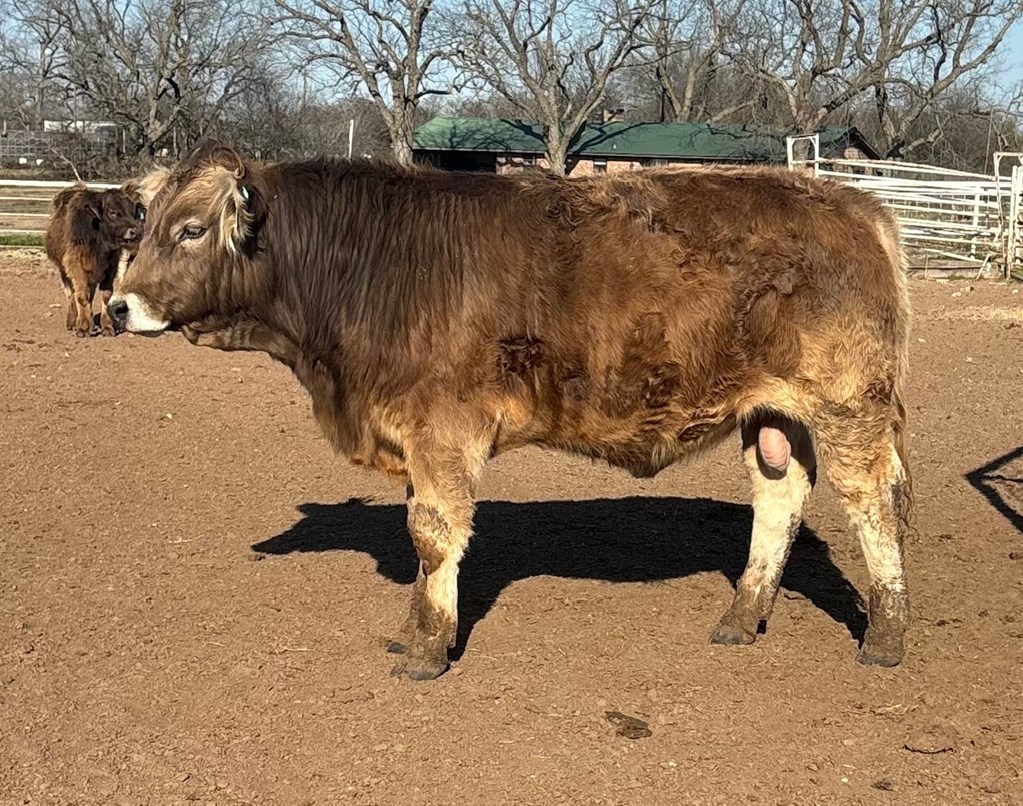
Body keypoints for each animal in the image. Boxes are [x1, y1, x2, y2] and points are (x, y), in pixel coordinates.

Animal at [107, 143, 916, 679]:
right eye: (140, 229)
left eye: (190, 229)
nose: (117, 306)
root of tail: (856, 203)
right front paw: (414, 630)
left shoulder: (440, 430)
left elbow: (433, 535)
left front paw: (427, 648)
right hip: (773, 414)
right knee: (779, 499)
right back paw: (740, 618)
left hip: (848, 404)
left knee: (871, 504)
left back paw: (885, 636)